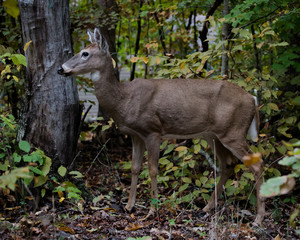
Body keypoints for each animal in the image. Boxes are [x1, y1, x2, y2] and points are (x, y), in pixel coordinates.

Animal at [58, 29, 264, 224]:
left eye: (85, 53)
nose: (61, 68)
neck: (124, 100)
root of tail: (252, 99)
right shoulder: (135, 135)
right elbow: (134, 168)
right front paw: (129, 206)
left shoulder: (152, 131)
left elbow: (152, 170)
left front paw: (152, 210)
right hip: (213, 135)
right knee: (228, 164)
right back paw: (207, 208)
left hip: (234, 132)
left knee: (256, 164)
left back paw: (258, 218)